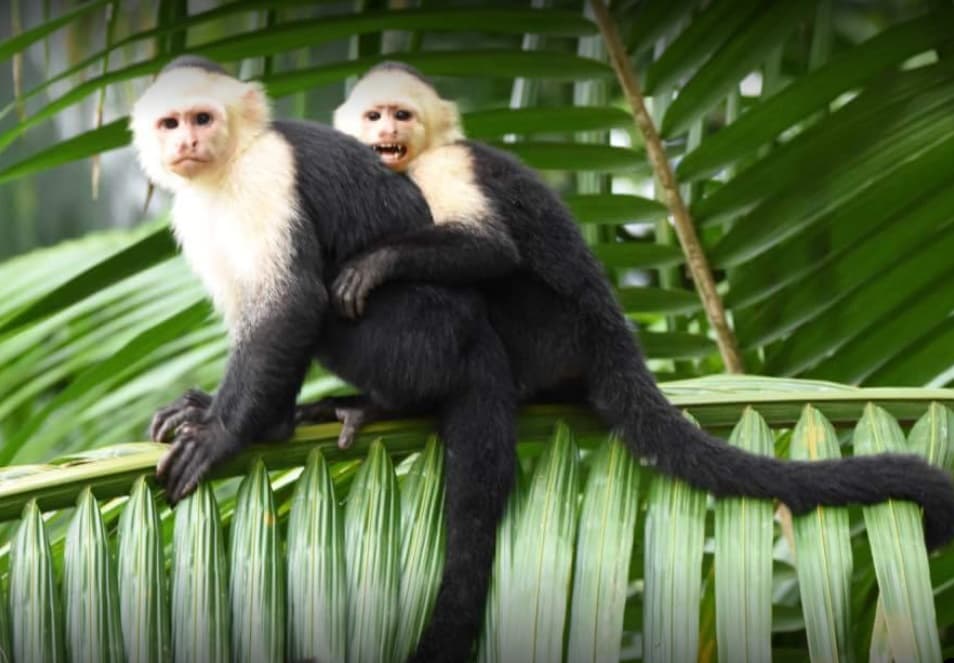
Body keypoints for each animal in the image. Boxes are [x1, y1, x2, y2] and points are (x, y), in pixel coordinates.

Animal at [132, 55, 519, 663]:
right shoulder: (195, 209)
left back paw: (368, 407)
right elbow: (253, 308)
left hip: (422, 334)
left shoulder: (266, 174)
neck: (233, 159)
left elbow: (291, 303)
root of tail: (479, 337)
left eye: (202, 118)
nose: (187, 141)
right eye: (170, 123)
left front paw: (224, 432)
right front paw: (209, 408)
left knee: (331, 304)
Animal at [328, 62, 954, 555]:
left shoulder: (446, 165)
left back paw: (389, 401)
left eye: (402, 114)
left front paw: (376, 263)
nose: (387, 129)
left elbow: (489, 249)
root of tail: (613, 338)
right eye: (374, 116)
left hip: (549, 333)